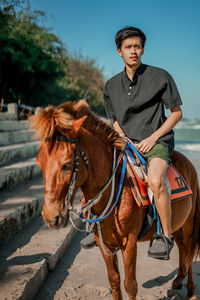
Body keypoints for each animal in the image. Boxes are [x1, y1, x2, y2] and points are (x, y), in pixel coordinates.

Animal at [29, 99, 200, 298]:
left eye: (66, 164)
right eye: (39, 164)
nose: (51, 217)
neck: (116, 187)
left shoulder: (130, 242)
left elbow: (130, 285)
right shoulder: (104, 242)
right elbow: (114, 281)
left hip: (188, 225)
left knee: (189, 252)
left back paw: (190, 289)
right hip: (177, 225)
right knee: (182, 250)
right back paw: (179, 280)